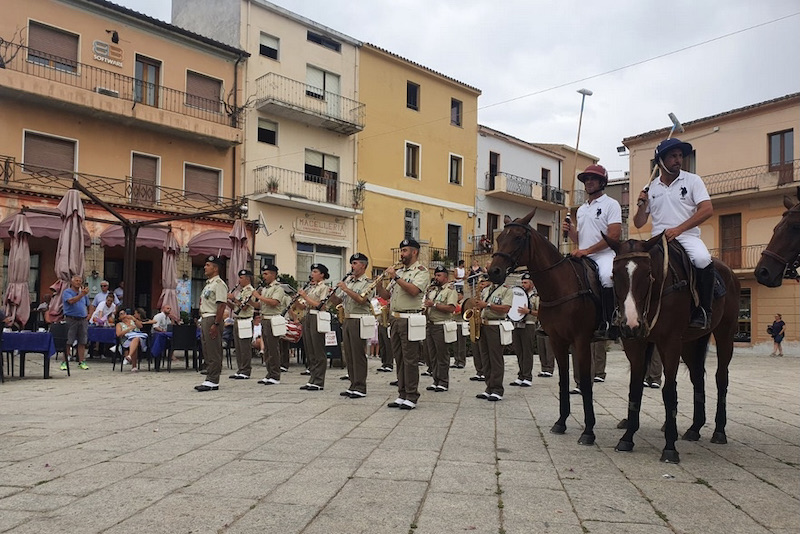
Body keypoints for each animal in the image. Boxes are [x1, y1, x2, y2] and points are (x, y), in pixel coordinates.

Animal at [488, 211, 600, 446]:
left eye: (518, 238)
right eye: (499, 238)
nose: (493, 271)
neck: (561, 285)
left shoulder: (581, 341)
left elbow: (586, 383)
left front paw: (588, 431)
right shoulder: (557, 340)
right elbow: (563, 380)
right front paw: (561, 422)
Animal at [608, 234, 744, 464]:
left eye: (648, 273)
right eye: (615, 273)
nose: (630, 324)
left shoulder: (670, 342)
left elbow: (669, 391)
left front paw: (670, 447)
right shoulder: (636, 343)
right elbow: (635, 388)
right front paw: (627, 438)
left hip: (724, 334)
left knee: (721, 378)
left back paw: (719, 431)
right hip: (689, 344)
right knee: (698, 377)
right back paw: (695, 428)